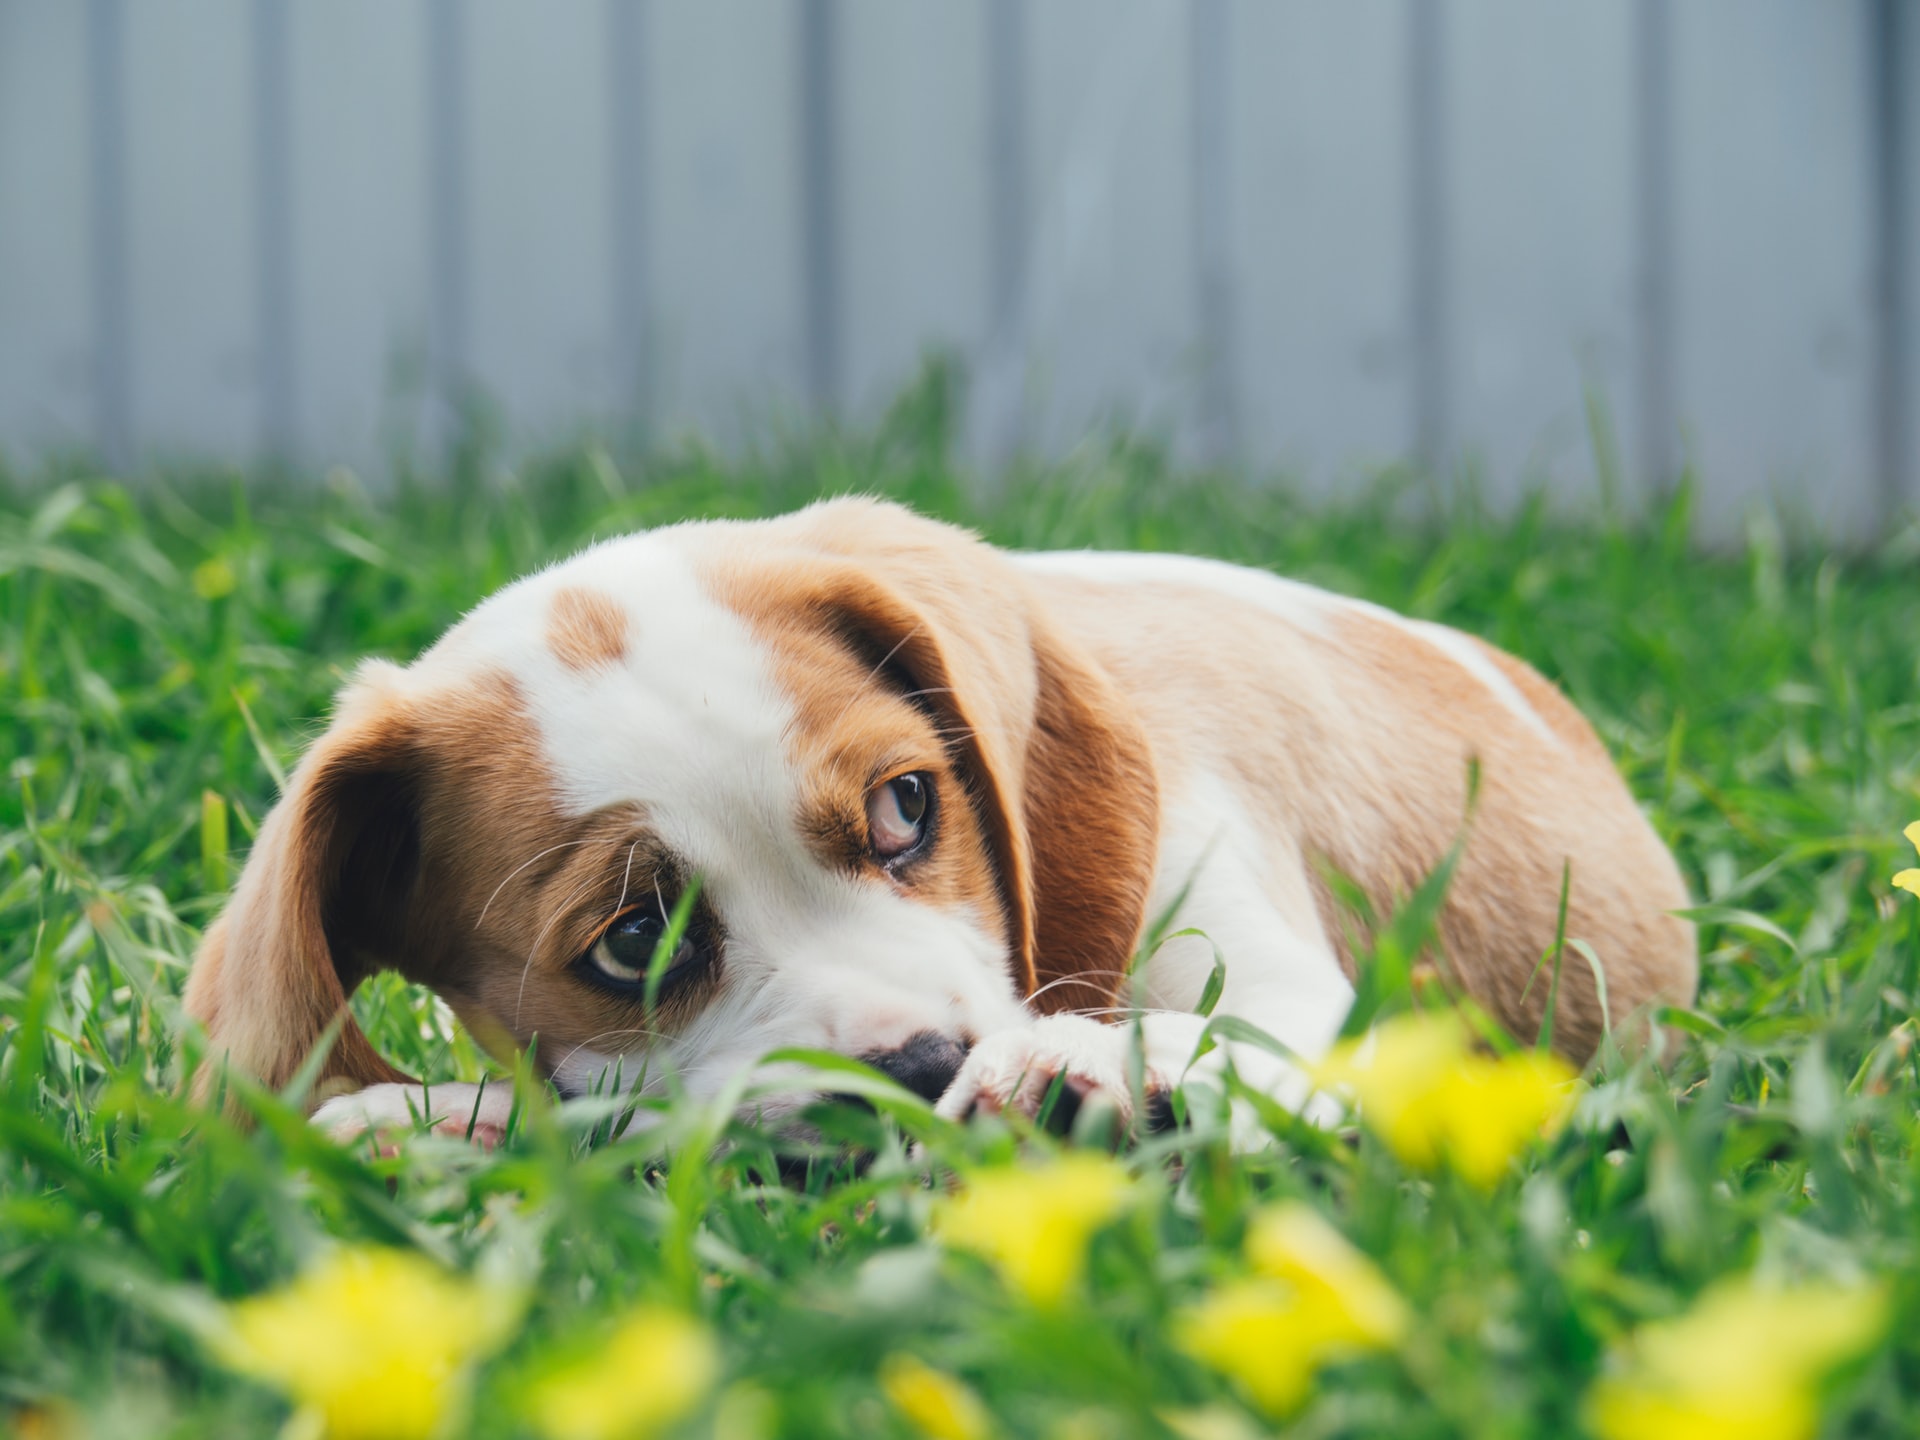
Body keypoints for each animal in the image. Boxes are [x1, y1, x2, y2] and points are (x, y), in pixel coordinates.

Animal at [183, 503, 1697, 1144]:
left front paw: (1103, 1073)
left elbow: (1252, 1038)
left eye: (908, 807)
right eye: (632, 945)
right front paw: (437, 1122)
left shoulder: (1268, 967)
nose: (920, 1066)